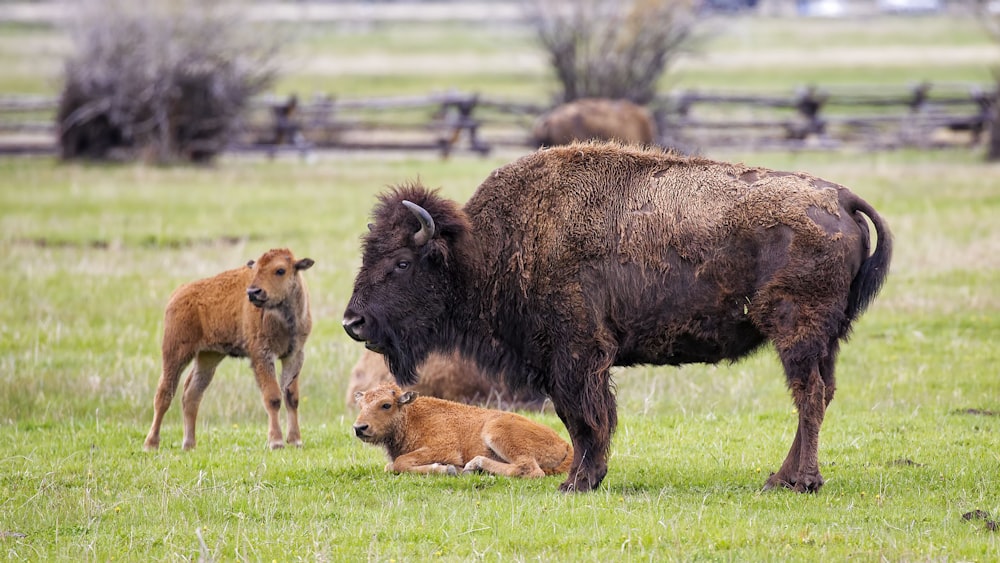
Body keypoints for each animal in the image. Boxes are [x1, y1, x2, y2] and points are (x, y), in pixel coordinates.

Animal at [145, 249, 314, 452]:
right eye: (255, 269)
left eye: (280, 270)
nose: (253, 292)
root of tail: (179, 293)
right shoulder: (262, 355)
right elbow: (272, 397)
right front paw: (276, 442)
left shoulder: (294, 355)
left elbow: (291, 397)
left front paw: (296, 440)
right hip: (175, 352)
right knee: (164, 393)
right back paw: (151, 443)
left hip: (208, 357)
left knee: (191, 394)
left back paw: (189, 444)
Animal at [352, 382, 572, 478]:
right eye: (361, 405)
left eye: (386, 405)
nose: (359, 428)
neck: (412, 417)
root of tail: (565, 445)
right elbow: (391, 466)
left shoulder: (444, 448)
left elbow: (400, 462)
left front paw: (448, 469)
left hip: (495, 431)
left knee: (530, 469)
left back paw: (475, 465)